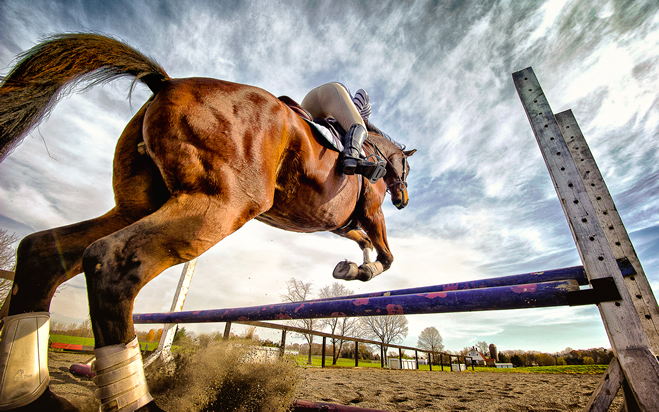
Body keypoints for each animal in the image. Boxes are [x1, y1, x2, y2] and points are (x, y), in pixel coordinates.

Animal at [0, 33, 412, 410]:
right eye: (406, 169)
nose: (404, 200)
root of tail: (167, 83)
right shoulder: (371, 211)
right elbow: (388, 255)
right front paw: (364, 269)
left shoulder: (339, 222)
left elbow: (360, 238)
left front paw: (350, 266)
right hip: (222, 205)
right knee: (110, 262)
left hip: (137, 207)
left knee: (42, 251)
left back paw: (35, 396)